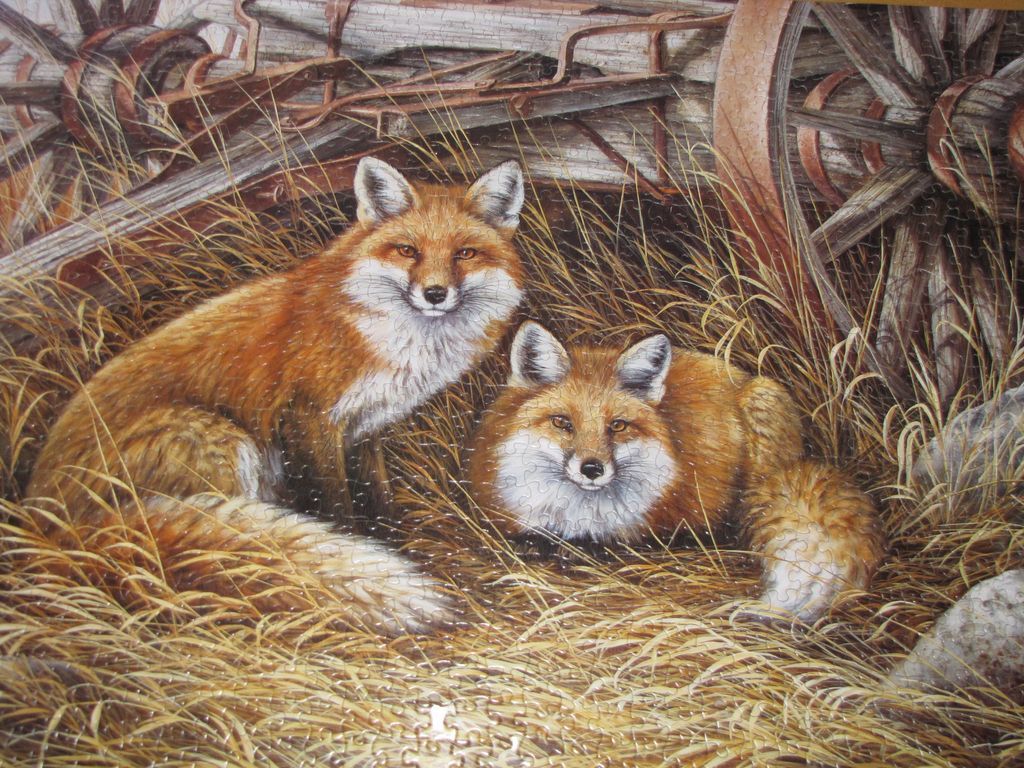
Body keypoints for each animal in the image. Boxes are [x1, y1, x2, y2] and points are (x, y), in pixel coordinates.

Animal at [26, 156, 526, 635]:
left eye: (465, 253)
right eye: (408, 250)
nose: (435, 293)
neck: (384, 332)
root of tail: (47, 521)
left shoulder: (365, 427)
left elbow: (378, 496)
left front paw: (394, 541)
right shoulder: (310, 417)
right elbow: (338, 508)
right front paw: (354, 544)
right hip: (223, 442)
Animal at [467, 322, 885, 623]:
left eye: (617, 426)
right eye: (562, 423)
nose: (592, 469)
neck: (574, 513)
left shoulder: (642, 526)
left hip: (761, 413)